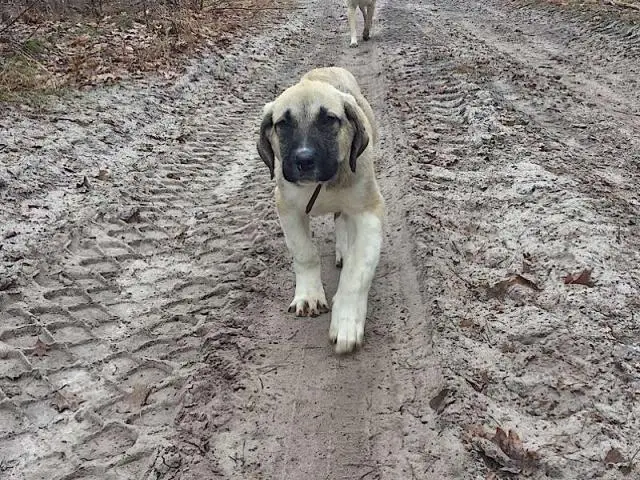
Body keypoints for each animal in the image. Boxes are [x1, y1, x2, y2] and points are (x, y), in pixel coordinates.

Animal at [255, 66, 384, 352]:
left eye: (328, 120)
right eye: (283, 124)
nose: (304, 160)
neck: (320, 185)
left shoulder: (369, 212)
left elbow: (356, 272)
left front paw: (347, 322)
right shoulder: (287, 209)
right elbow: (305, 253)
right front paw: (309, 295)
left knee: (342, 220)